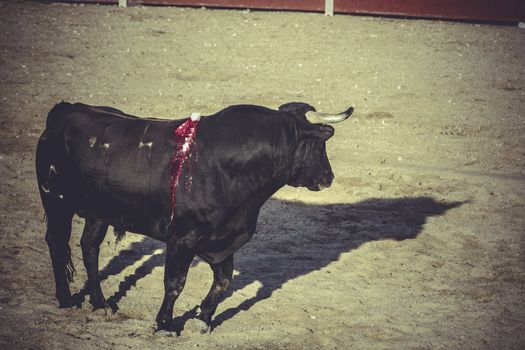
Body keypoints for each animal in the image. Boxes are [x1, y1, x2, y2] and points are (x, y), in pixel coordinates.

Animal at [35, 100, 352, 330]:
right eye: (320, 145)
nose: (329, 177)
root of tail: (63, 110)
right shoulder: (182, 238)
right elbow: (175, 282)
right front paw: (165, 323)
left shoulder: (224, 239)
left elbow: (223, 282)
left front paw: (203, 317)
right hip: (57, 202)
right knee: (57, 243)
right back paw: (65, 299)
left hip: (99, 212)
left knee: (89, 247)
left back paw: (101, 304)